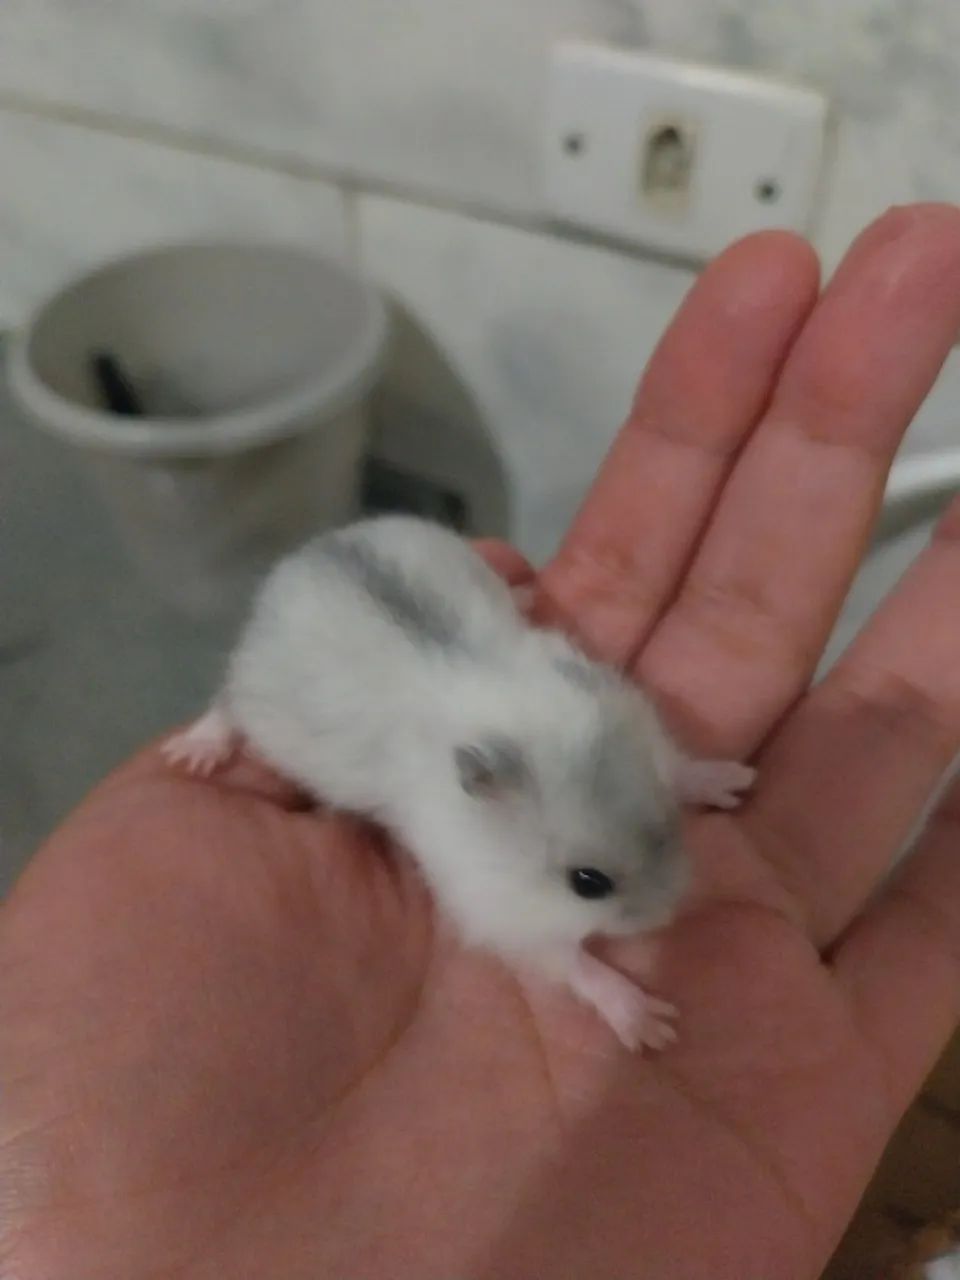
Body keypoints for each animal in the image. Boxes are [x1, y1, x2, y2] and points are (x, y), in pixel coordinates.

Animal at [163, 515, 755, 1050]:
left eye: (669, 825)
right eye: (588, 883)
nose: (667, 912)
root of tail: (294, 563)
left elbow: (680, 766)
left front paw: (735, 782)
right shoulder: (500, 910)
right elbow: (573, 963)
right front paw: (655, 1027)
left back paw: (523, 591)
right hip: (254, 693)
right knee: (225, 705)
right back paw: (192, 756)